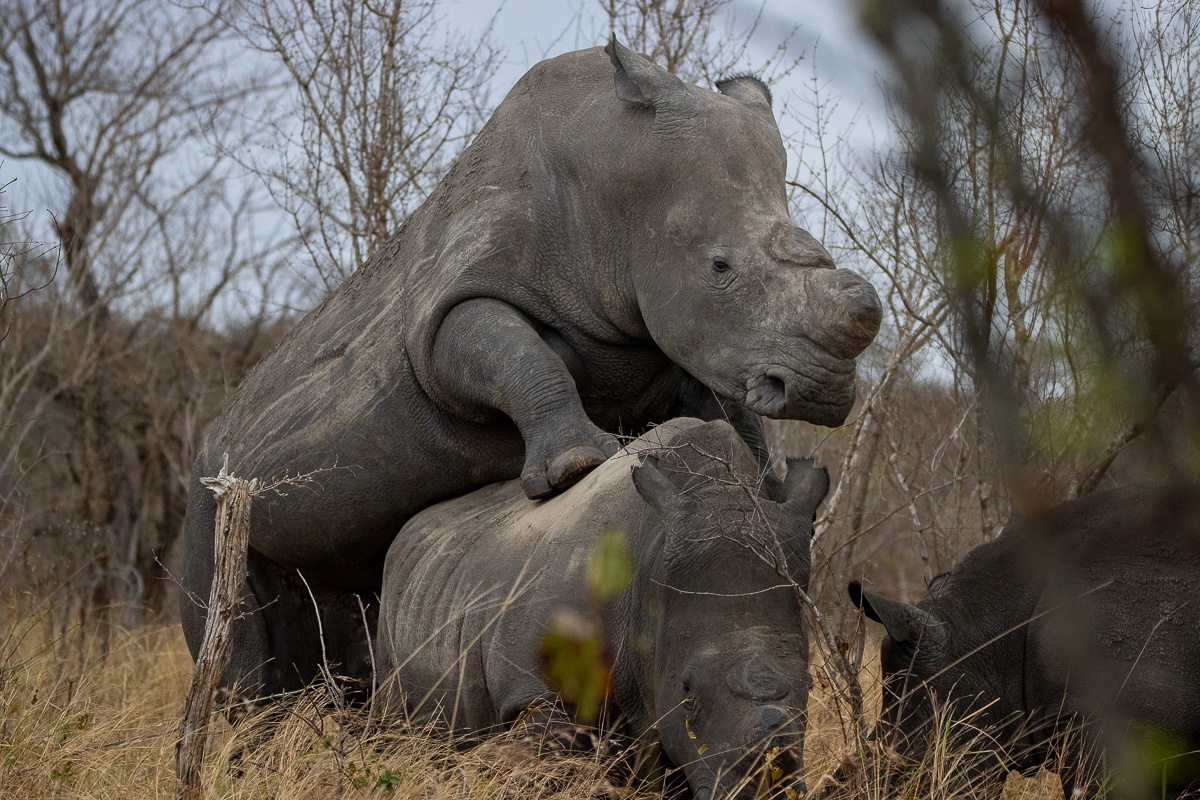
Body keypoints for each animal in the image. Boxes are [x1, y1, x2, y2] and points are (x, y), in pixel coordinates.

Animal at [180, 38, 879, 702]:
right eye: (720, 266)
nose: (822, 392)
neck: (612, 186)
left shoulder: (682, 346)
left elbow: (732, 416)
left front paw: (764, 487)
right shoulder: (450, 302)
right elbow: (514, 353)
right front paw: (577, 467)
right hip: (209, 494)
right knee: (238, 647)